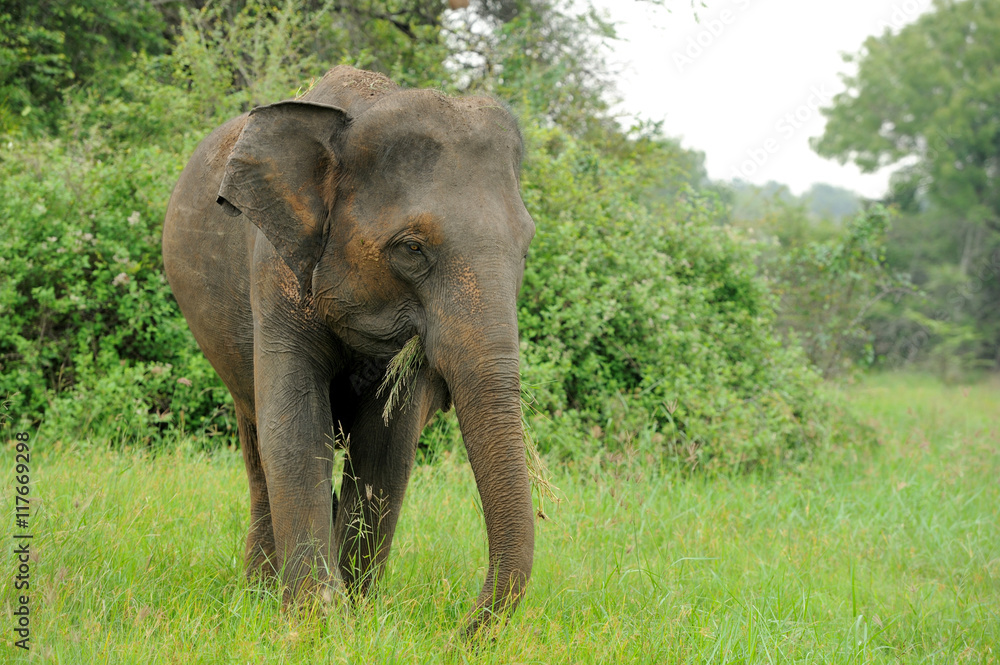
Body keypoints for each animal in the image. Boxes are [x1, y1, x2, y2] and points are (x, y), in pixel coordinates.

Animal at [161, 65, 536, 636]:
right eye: (412, 248)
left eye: (526, 246)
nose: (457, 635)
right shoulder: (277, 271)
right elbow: (294, 430)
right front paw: (316, 625)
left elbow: (386, 446)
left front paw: (357, 616)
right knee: (256, 443)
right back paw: (259, 593)